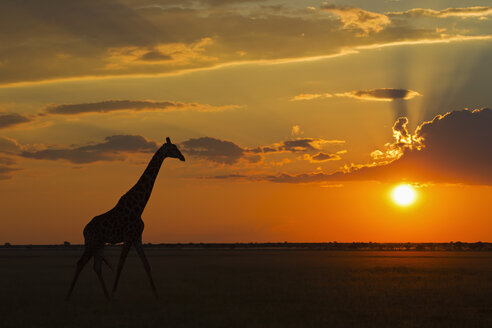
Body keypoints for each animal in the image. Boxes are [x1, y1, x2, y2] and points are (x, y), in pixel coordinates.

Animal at [66, 136, 185, 300]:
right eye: (173, 148)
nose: (182, 157)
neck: (139, 207)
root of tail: (84, 230)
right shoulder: (128, 236)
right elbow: (120, 265)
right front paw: (114, 293)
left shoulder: (137, 237)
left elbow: (146, 265)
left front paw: (156, 295)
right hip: (92, 243)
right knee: (80, 263)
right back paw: (69, 295)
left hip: (100, 244)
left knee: (96, 267)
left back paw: (106, 297)